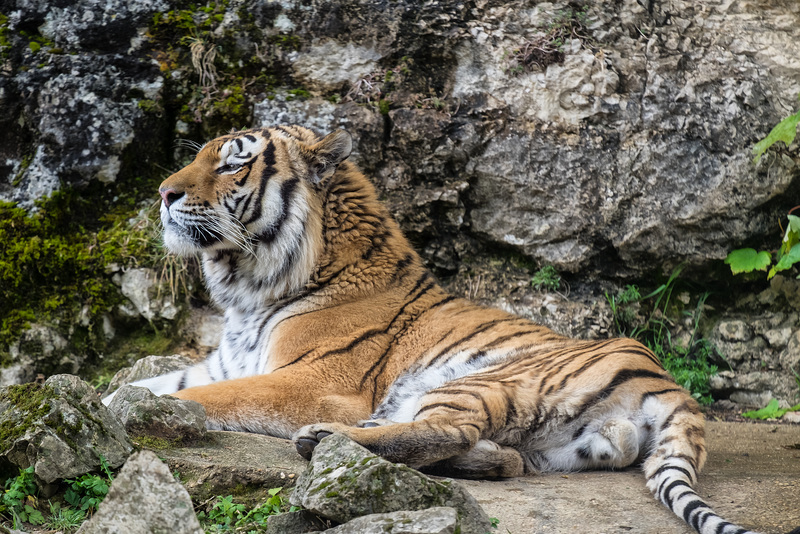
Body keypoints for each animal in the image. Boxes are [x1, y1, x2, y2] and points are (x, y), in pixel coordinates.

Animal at [103, 123, 760, 534]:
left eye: (233, 161)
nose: (163, 193)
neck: (249, 287)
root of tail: (670, 385)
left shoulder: (312, 383)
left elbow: (215, 398)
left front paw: (124, 411)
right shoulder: (219, 360)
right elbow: (150, 385)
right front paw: (106, 398)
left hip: (485, 380)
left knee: (445, 430)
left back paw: (327, 441)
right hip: (561, 443)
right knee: (503, 458)